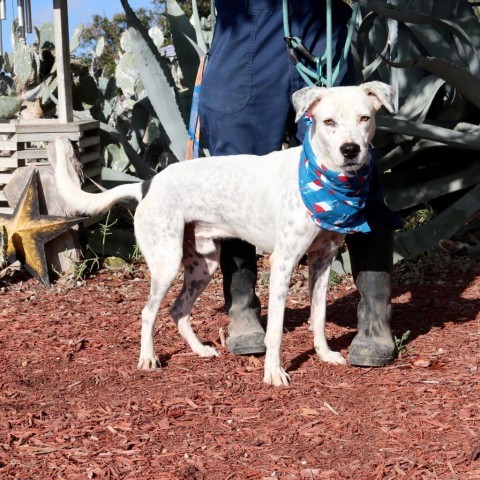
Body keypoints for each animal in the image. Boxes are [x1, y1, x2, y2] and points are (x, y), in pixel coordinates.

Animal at [49, 81, 394, 386]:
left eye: (365, 118)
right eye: (328, 122)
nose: (350, 150)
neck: (327, 183)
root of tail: (147, 184)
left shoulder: (322, 260)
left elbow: (319, 315)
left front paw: (325, 354)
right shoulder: (283, 263)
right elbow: (275, 329)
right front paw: (273, 373)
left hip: (204, 265)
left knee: (177, 310)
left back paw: (201, 350)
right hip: (167, 262)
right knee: (148, 312)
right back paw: (148, 358)